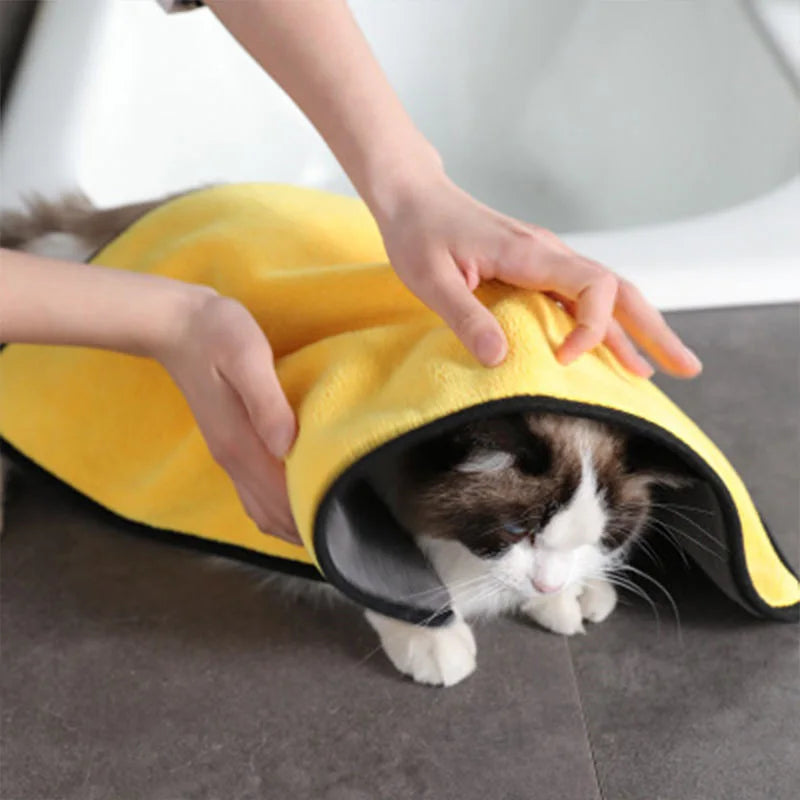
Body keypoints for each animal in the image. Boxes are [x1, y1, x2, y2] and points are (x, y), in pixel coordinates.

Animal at [0, 194, 688, 688]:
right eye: (515, 530)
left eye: (606, 535)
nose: (547, 585)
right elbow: (401, 580)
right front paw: (438, 643)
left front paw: (571, 594)